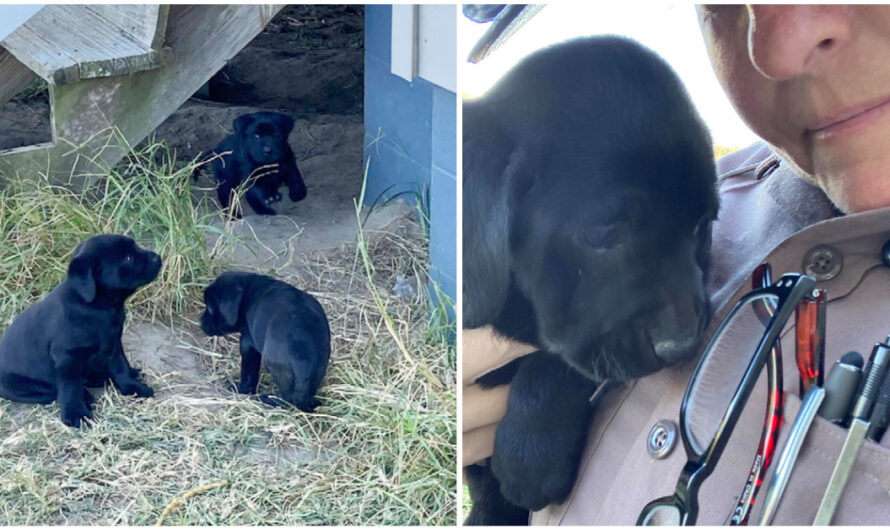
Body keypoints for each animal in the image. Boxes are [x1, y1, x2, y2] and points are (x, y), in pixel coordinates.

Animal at [0, 234, 160, 424]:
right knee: (52, 391)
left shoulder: (113, 343)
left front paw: (132, 387)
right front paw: (76, 413)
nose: (158, 257)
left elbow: (120, 366)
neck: (97, 307)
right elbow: (70, 388)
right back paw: (87, 396)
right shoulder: (68, 359)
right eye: (127, 258)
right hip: (24, 386)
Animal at [198, 270, 330, 410]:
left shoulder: (247, 343)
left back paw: (268, 399)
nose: (200, 321)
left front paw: (241, 389)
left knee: (287, 398)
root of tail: (304, 369)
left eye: (210, 308)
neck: (248, 292)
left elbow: (248, 372)